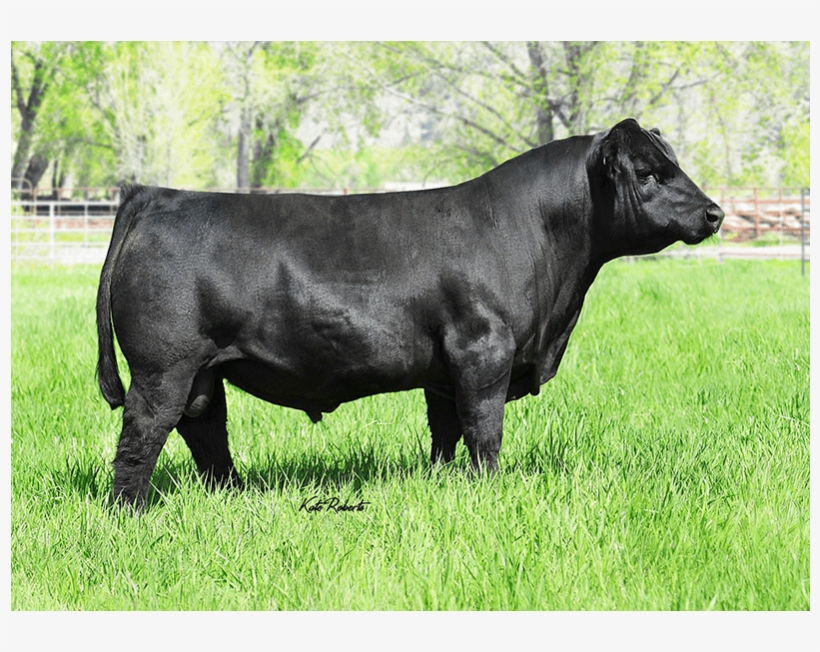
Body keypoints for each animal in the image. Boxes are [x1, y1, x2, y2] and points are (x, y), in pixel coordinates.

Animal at [96, 118, 723, 508]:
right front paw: (490, 490)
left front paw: (443, 483)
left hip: (203, 372)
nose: (714, 213)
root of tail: (155, 194)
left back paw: (233, 496)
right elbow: (484, 431)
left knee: (205, 432)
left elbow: (445, 431)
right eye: (648, 173)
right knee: (141, 439)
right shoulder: (483, 351)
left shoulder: (445, 369)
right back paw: (131, 517)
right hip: (163, 368)